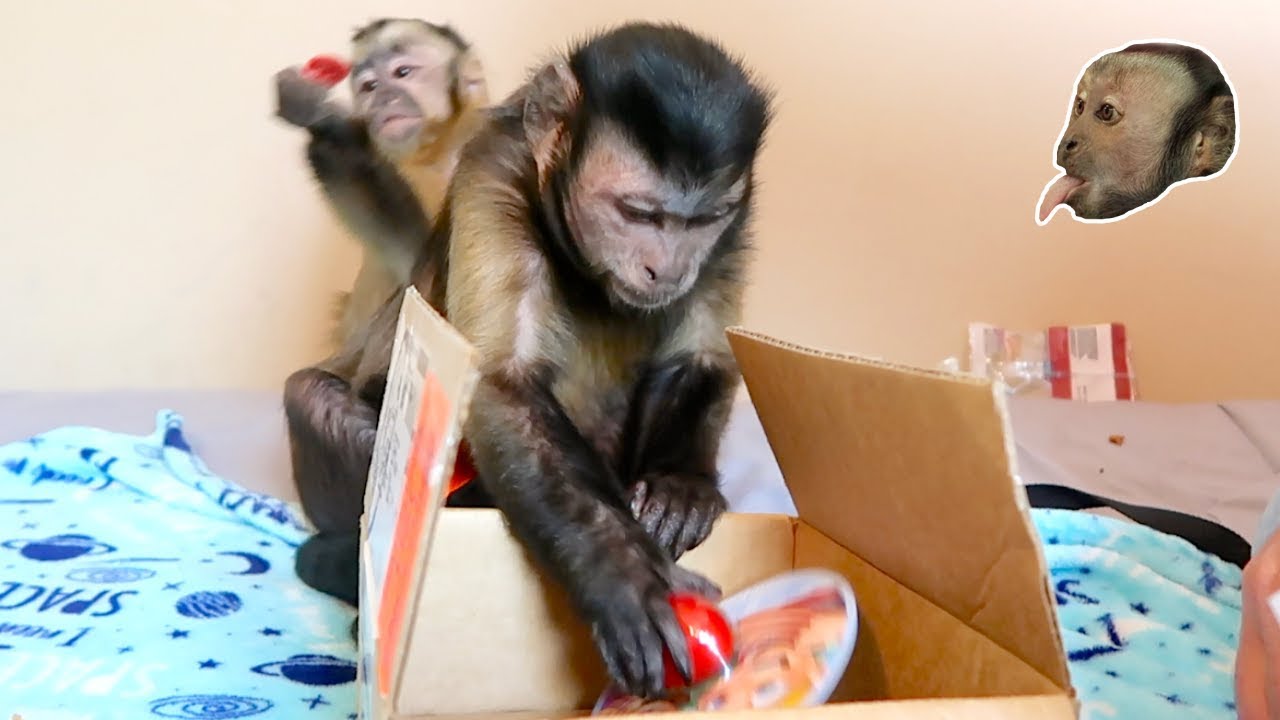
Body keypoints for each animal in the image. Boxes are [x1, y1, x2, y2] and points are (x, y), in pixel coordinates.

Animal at [273, 18, 490, 346]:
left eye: (402, 73)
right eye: (370, 87)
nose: (383, 98)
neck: (437, 153)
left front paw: (326, 120)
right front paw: (321, 119)